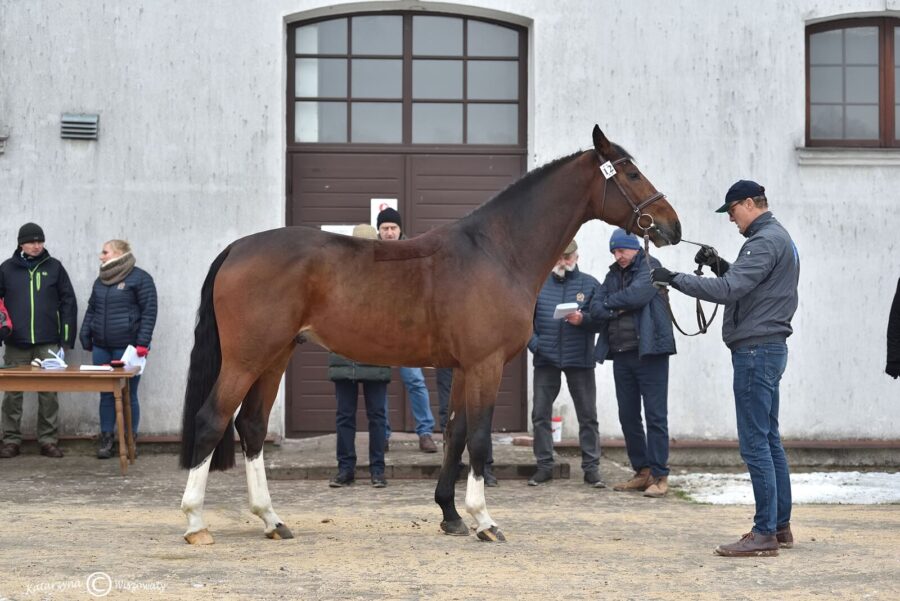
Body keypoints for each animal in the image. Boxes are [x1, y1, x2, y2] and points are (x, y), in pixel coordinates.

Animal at [179, 124, 680, 540]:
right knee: (212, 421)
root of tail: (237, 248)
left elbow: (455, 435)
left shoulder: (461, 368)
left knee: (252, 425)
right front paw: (484, 521)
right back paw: (196, 523)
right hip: (247, 358)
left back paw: (271, 519)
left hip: (276, 354)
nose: (671, 226)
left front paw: (451, 515)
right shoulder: (485, 365)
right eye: (631, 173)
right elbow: (479, 438)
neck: (497, 251)